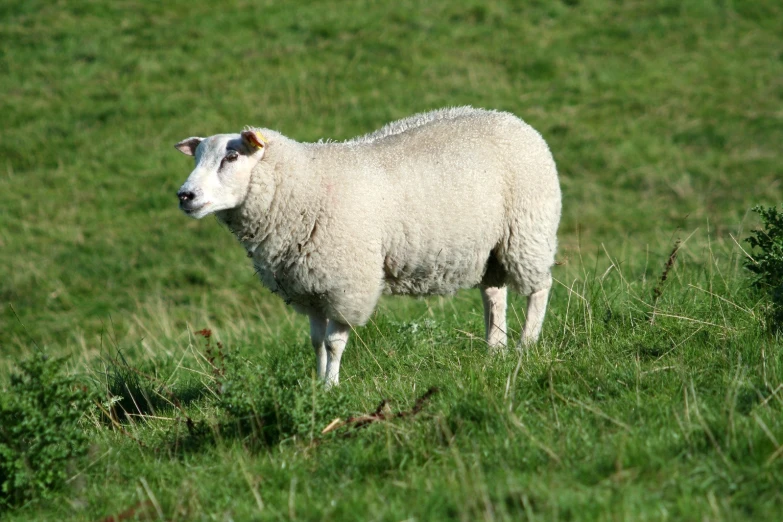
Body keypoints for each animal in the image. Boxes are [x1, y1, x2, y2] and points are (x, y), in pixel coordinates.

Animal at [175, 105, 560, 386]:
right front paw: (317, 385)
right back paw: (495, 350)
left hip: (528, 232)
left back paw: (526, 345)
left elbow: (333, 343)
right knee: (494, 295)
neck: (305, 187)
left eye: (232, 158)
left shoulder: (347, 284)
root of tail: (514, 120)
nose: (185, 195)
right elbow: (316, 342)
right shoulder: (309, 287)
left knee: (539, 288)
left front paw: (332, 387)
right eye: (196, 159)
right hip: (491, 250)